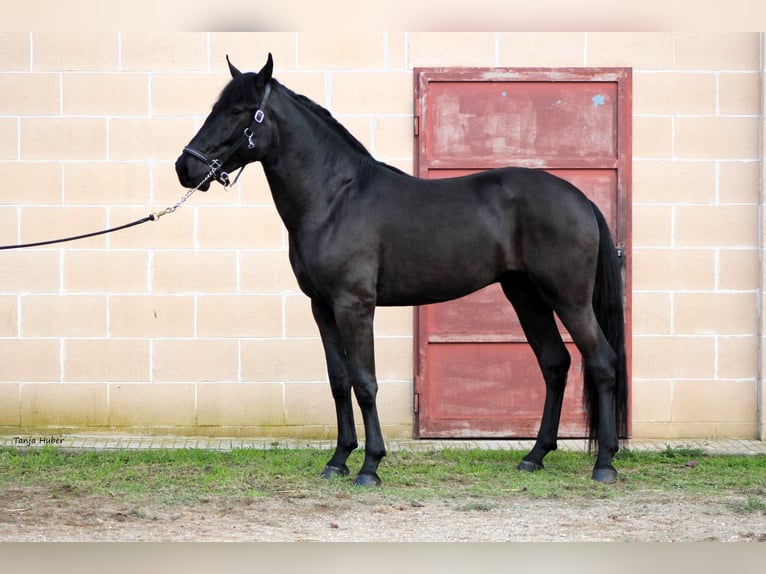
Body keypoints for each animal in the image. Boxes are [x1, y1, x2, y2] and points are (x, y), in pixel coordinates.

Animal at [176, 53, 632, 486]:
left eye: (240, 110)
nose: (186, 167)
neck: (334, 199)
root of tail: (580, 199)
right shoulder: (322, 308)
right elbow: (339, 381)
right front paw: (337, 461)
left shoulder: (354, 306)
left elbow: (365, 382)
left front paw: (370, 466)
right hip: (526, 296)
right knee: (555, 364)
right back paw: (534, 456)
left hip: (568, 298)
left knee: (602, 362)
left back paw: (605, 464)